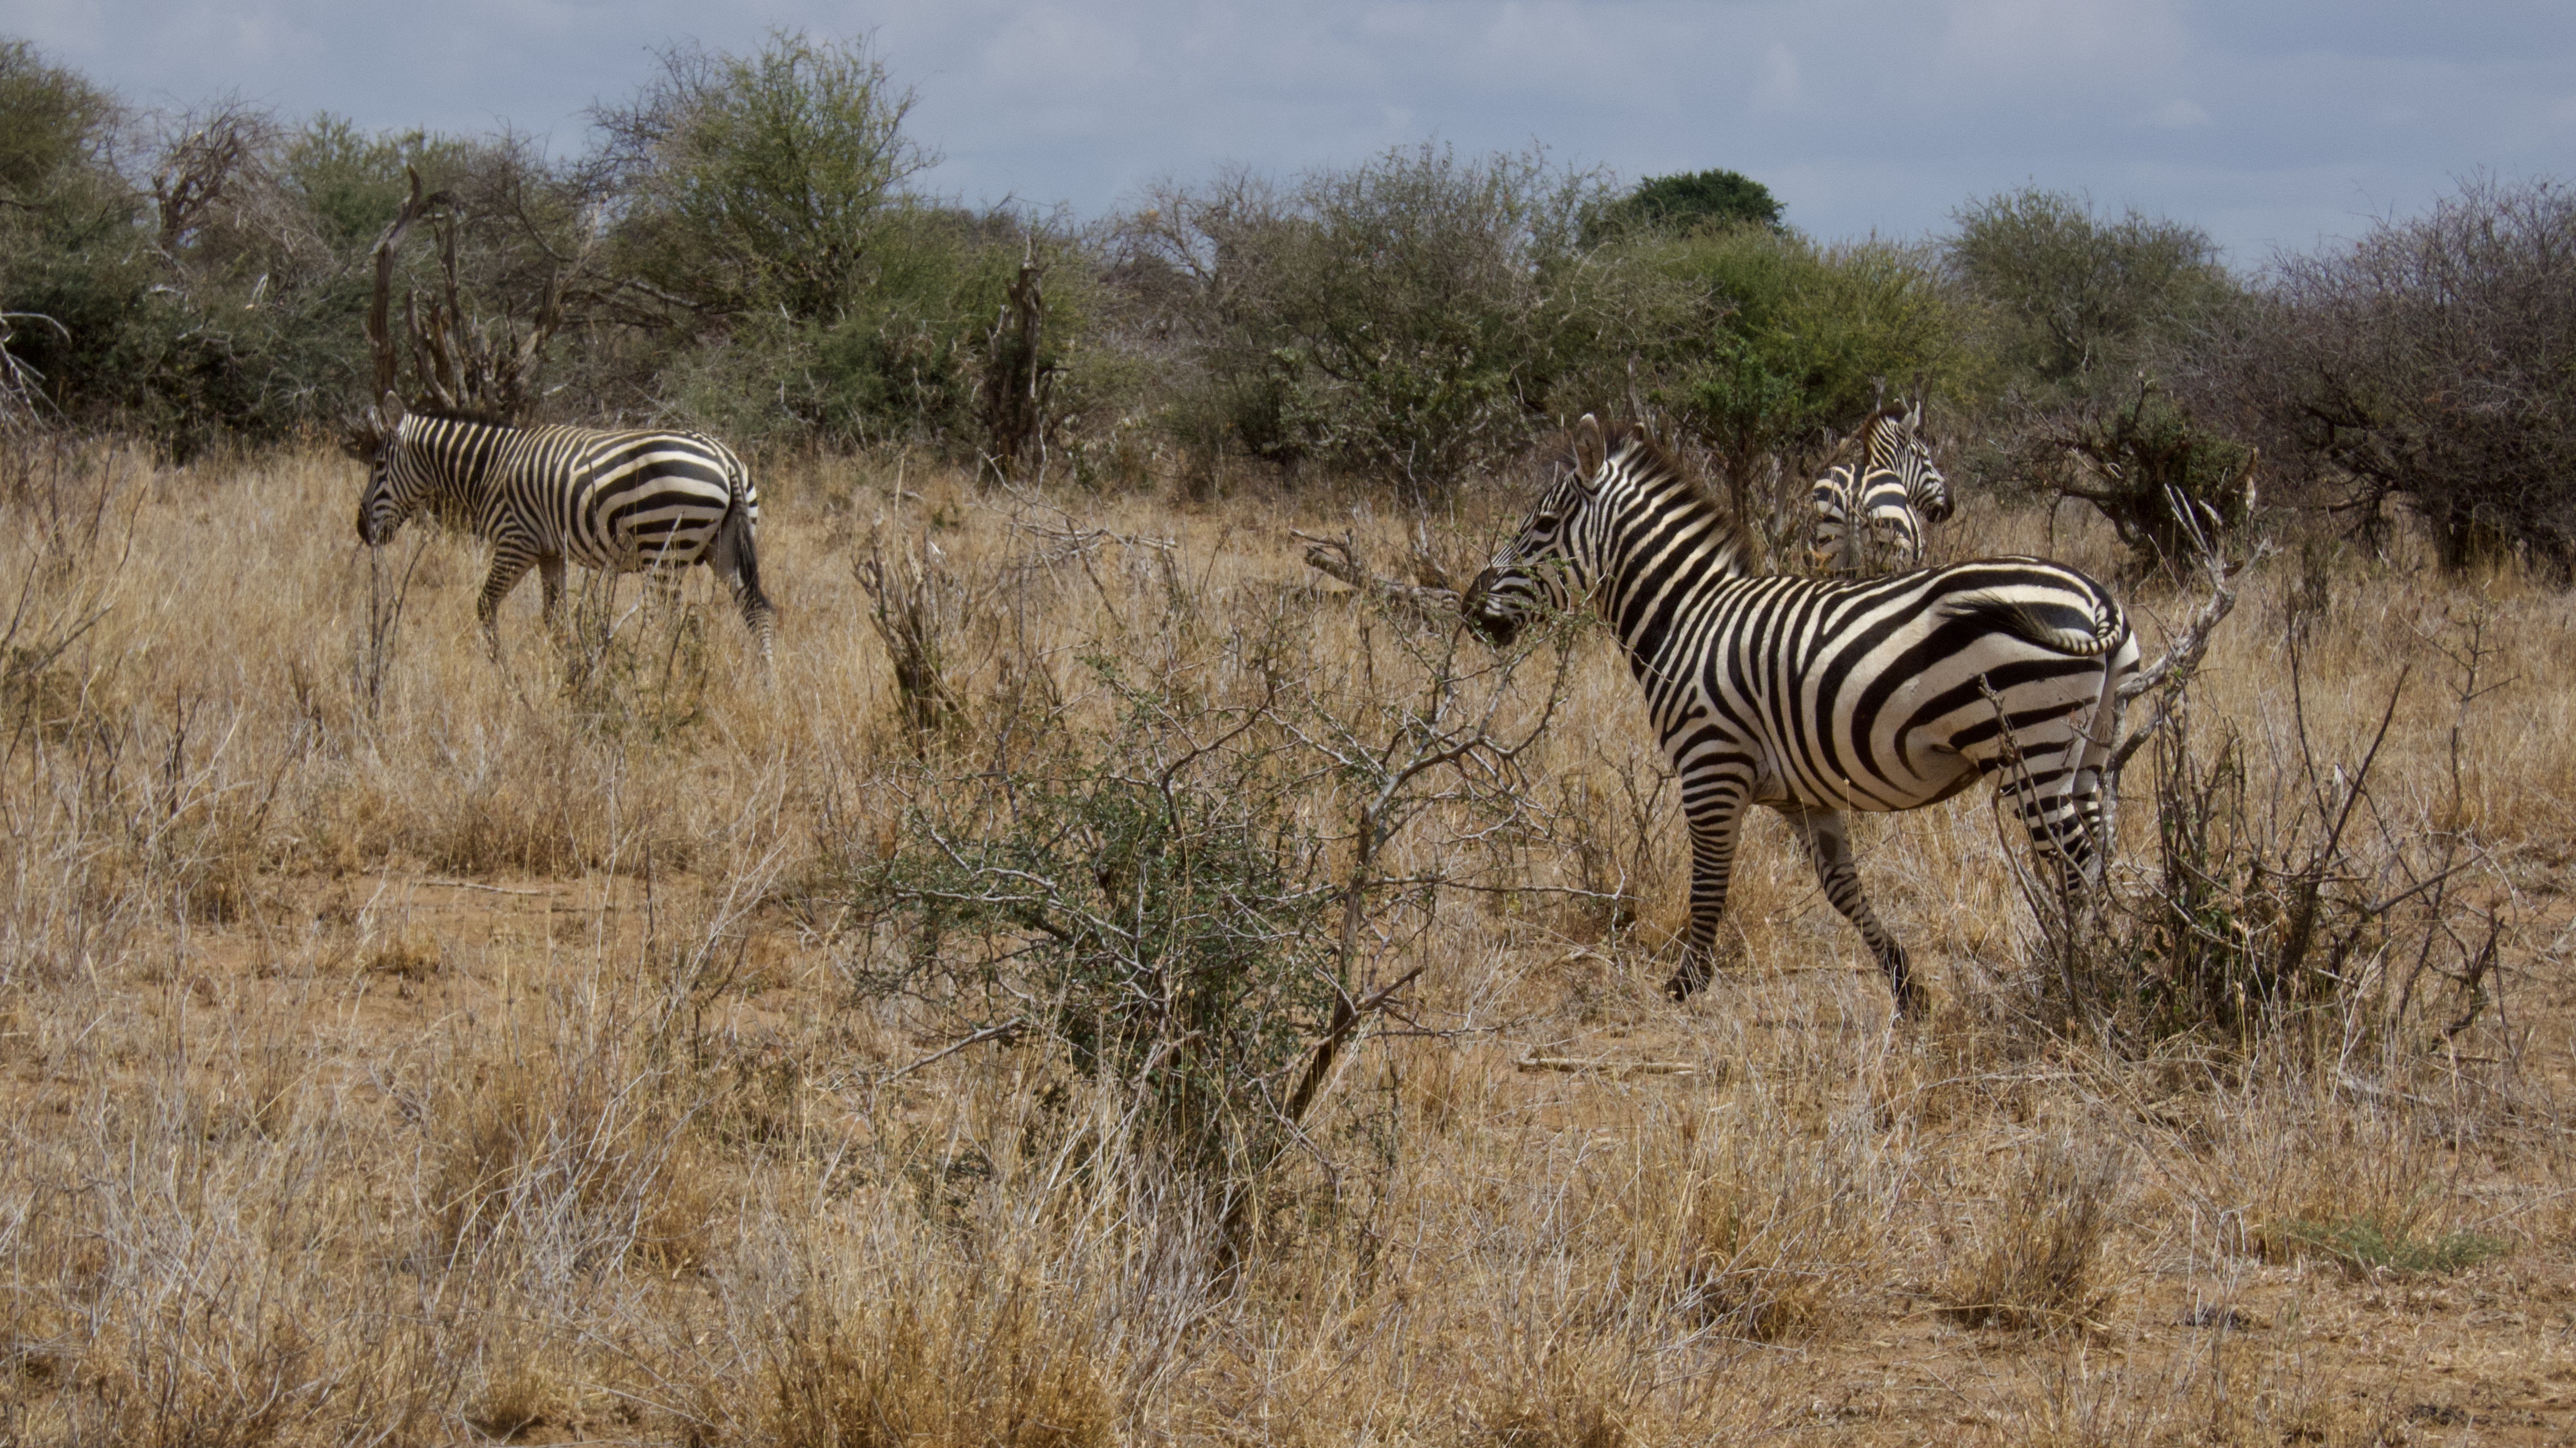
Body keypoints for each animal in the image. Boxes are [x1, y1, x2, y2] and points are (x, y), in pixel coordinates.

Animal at [347, 394, 778, 665]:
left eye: (379, 466)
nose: (363, 529)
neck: (490, 467)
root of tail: (724, 458)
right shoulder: (551, 552)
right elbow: (554, 621)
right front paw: (565, 673)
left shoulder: (516, 542)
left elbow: (486, 605)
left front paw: (502, 671)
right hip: (723, 546)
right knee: (757, 611)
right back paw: (766, 685)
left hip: (665, 550)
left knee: (675, 624)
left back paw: (666, 677)